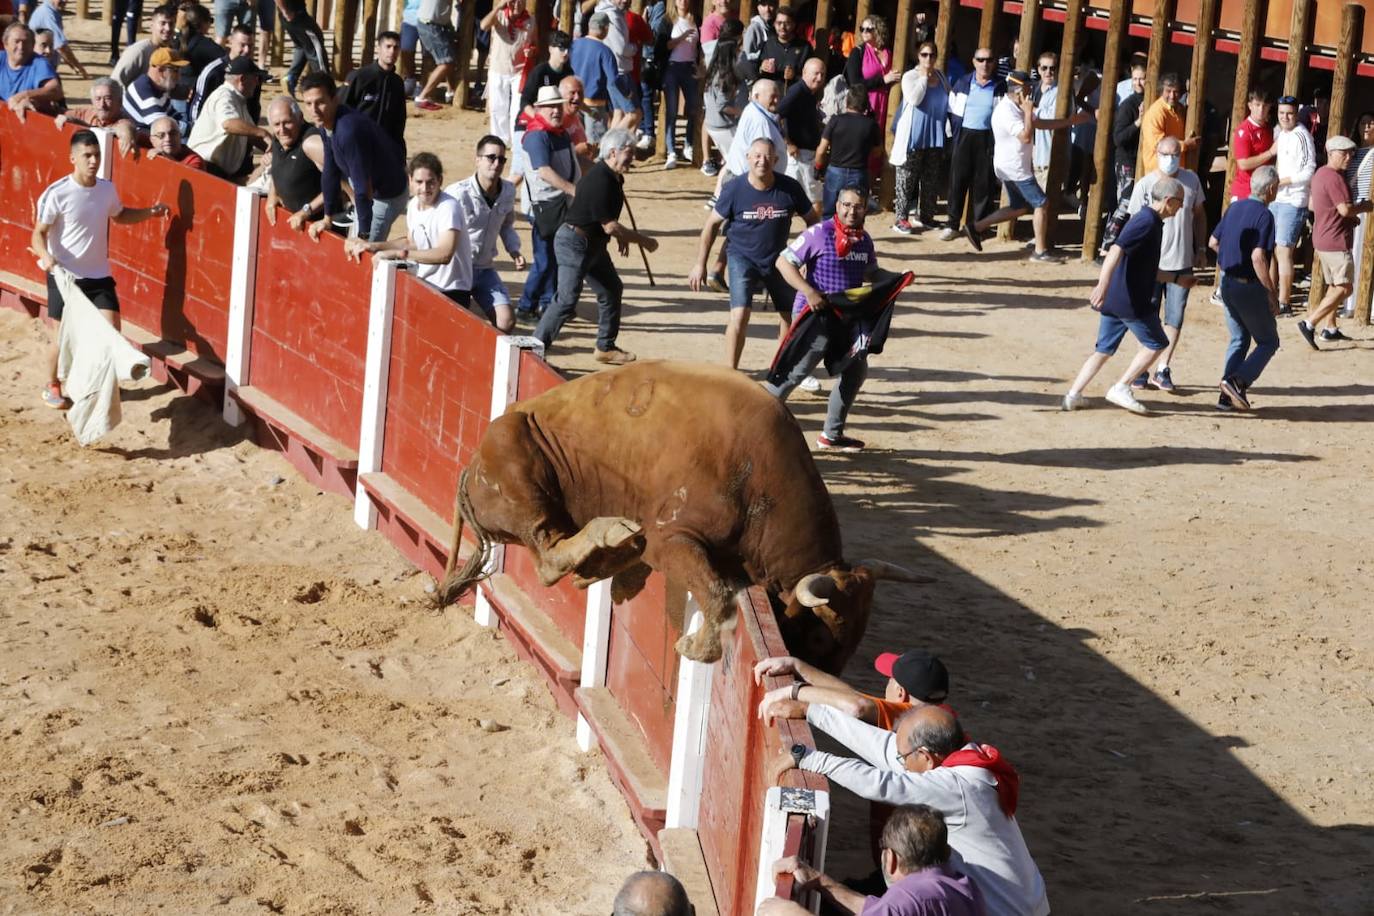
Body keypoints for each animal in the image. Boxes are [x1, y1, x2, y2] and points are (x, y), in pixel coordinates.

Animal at [436, 359, 923, 672]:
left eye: (857, 639)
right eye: (821, 634)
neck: (756, 476)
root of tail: (469, 467)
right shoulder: (671, 539)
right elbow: (719, 594)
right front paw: (695, 645)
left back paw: (603, 562)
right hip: (516, 454)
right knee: (548, 558)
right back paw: (608, 535)